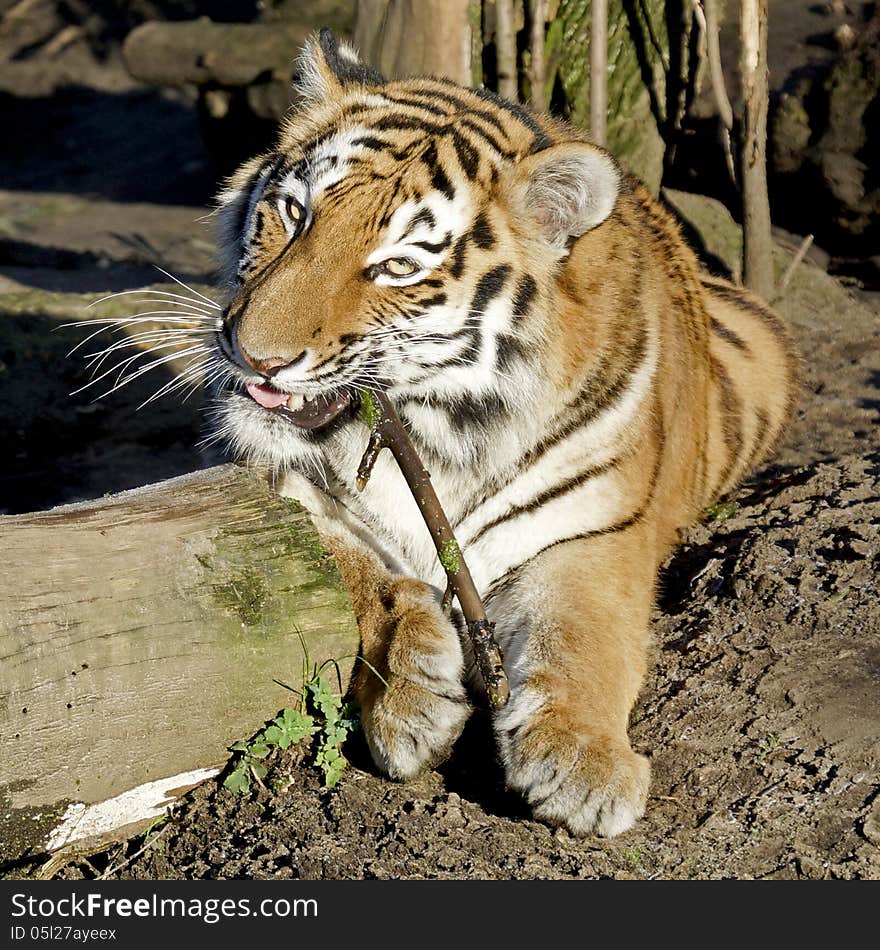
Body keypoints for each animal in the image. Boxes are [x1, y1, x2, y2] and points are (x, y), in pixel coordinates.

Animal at [210, 26, 800, 836]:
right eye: (295, 214)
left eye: (397, 267)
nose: (254, 354)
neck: (438, 429)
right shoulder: (295, 492)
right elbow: (356, 575)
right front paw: (411, 700)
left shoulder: (593, 533)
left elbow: (583, 635)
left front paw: (584, 766)